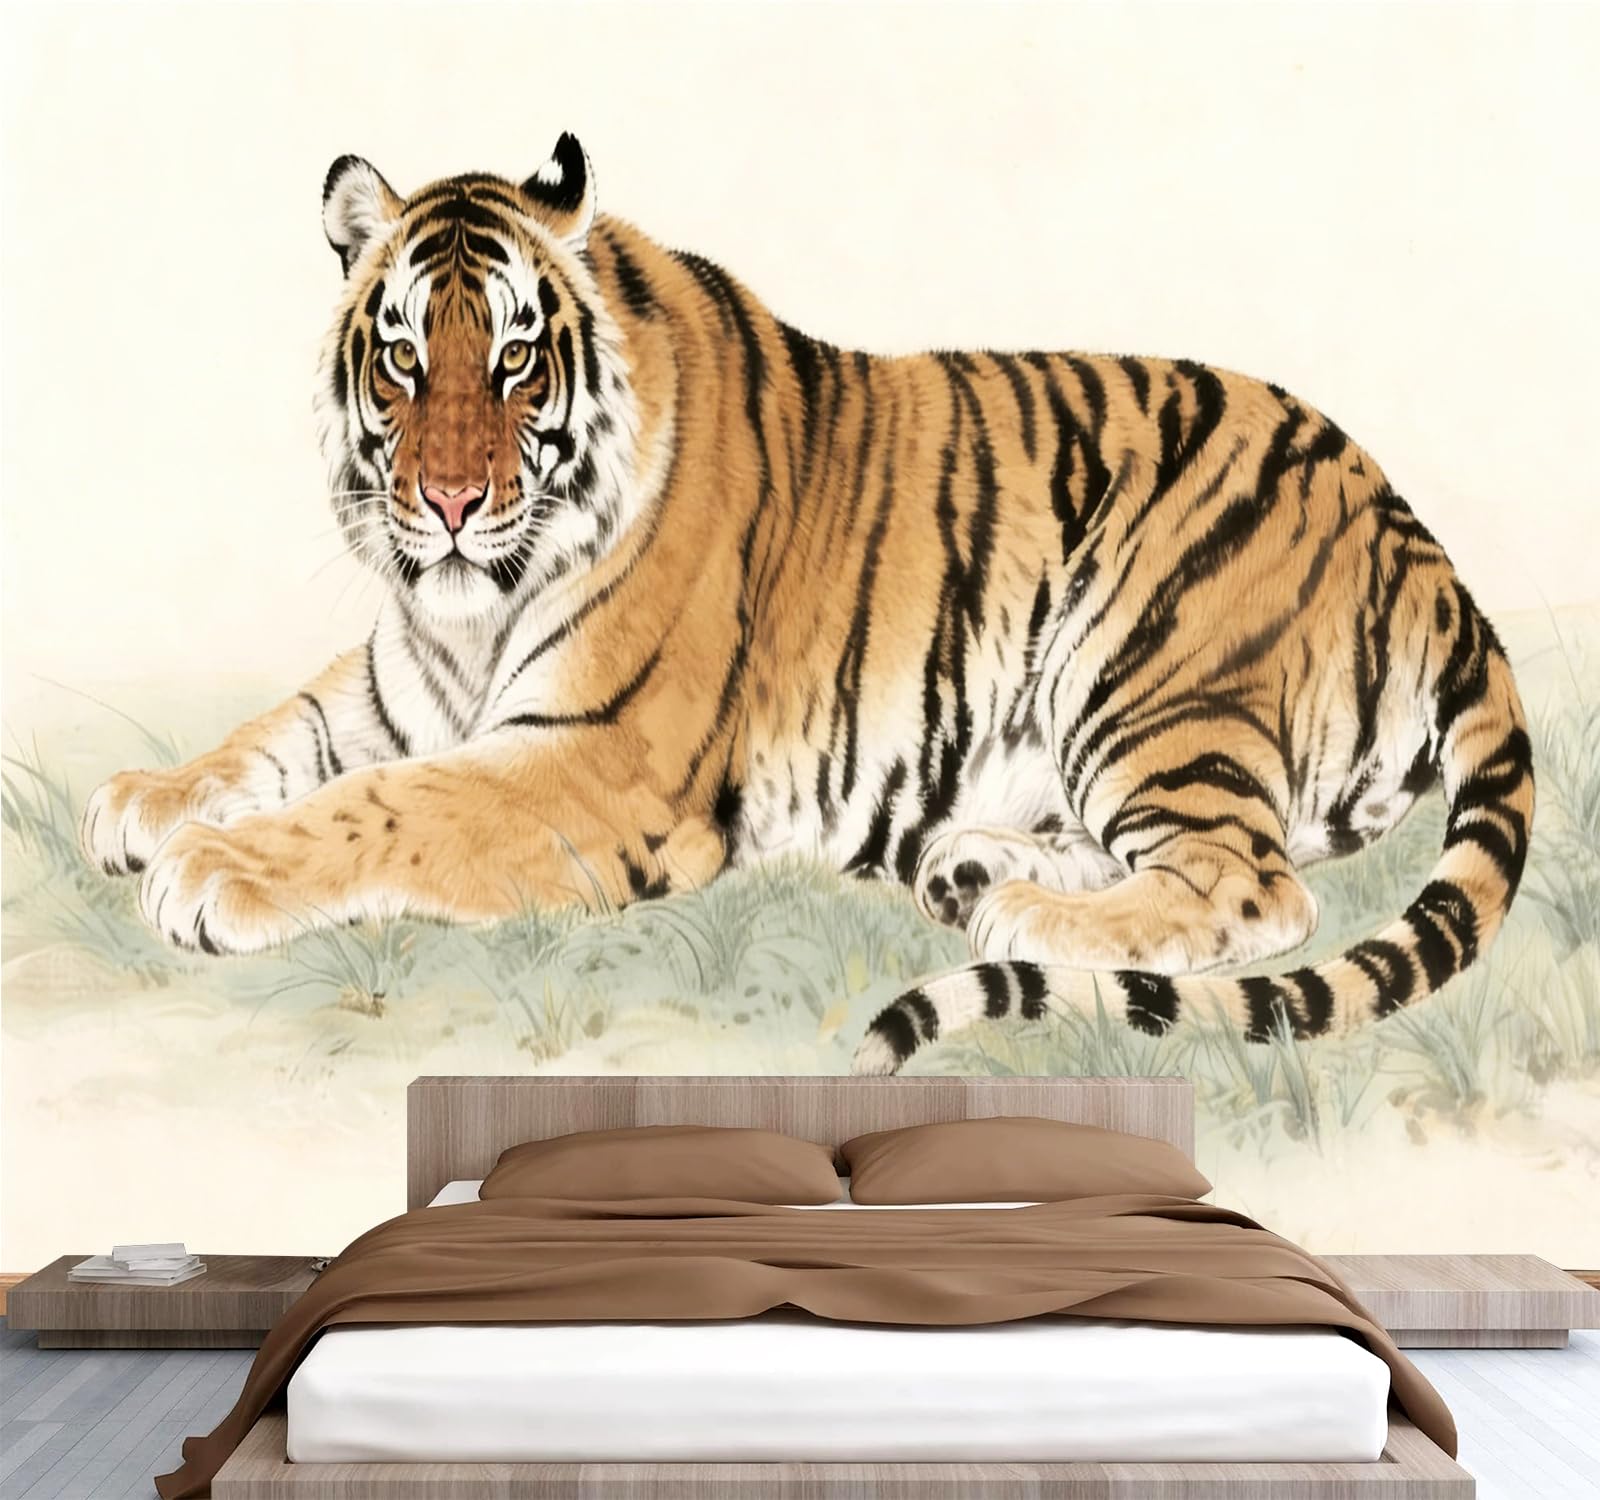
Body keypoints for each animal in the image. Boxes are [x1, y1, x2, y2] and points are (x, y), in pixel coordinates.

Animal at [80, 134, 1532, 1076]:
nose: (443, 503)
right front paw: (147, 804)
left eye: (512, 359)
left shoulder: (592, 764)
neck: (467, 608)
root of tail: (1421, 543)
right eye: (399, 357)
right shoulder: (398, 690)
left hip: (1146, 670)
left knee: (1256, 884)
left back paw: (1031, 914)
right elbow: (284, 736)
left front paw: (213, 869)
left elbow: (381, 807)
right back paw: (974, 865)